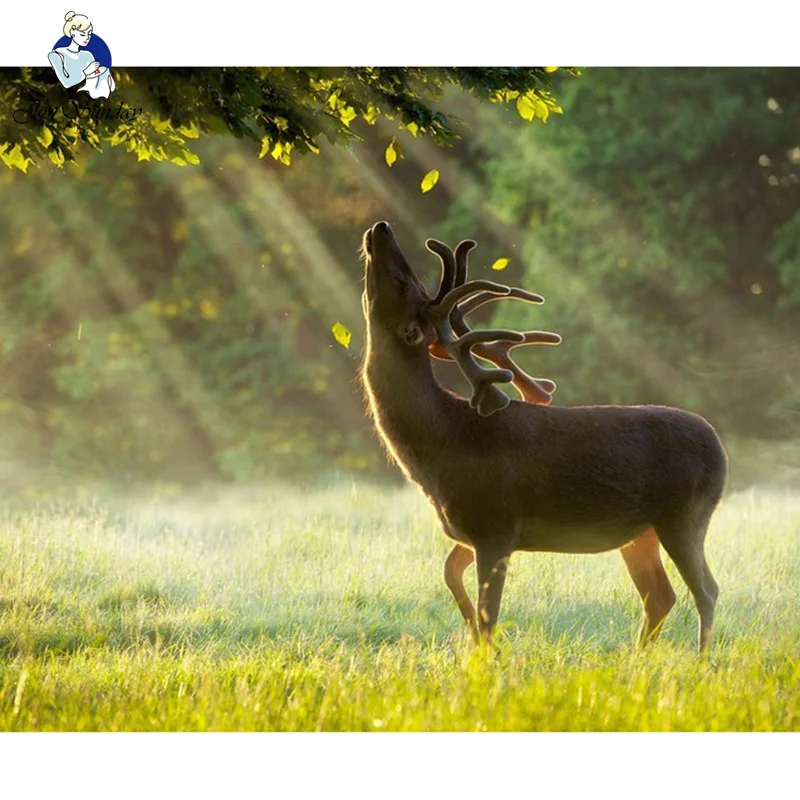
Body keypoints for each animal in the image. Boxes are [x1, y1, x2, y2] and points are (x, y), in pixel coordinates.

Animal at [360, 220, 728, 653]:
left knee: (706, 590)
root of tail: (720, 449)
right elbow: (450, 574)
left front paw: (485, 655)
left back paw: (701, 660)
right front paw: (472, 638)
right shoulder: (471, 530)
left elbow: (489, 615)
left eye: (403, 284)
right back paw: (638, 659)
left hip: (685, 515)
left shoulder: (495, 525)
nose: (381, 227)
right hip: (640, 533)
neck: (442, 445)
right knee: (660, 595)